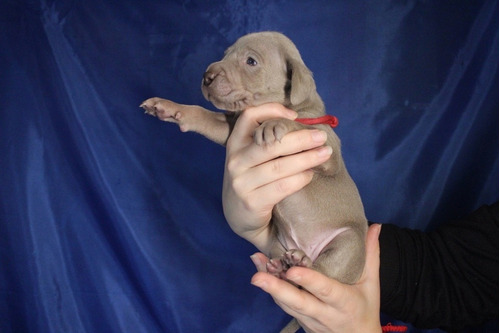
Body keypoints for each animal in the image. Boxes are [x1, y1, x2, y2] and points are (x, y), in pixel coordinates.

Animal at [141, 31, 368, 332]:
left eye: (251, 61)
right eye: (226, 53)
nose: (207, 75)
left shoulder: (327, 149)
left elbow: (297, 124)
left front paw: (275, 124)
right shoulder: (232, 129)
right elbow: (203, 114)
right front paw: (167, 106)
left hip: (349, 243)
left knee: (318, 276)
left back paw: (300, 264)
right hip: (278, 243)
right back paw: (283, 268)